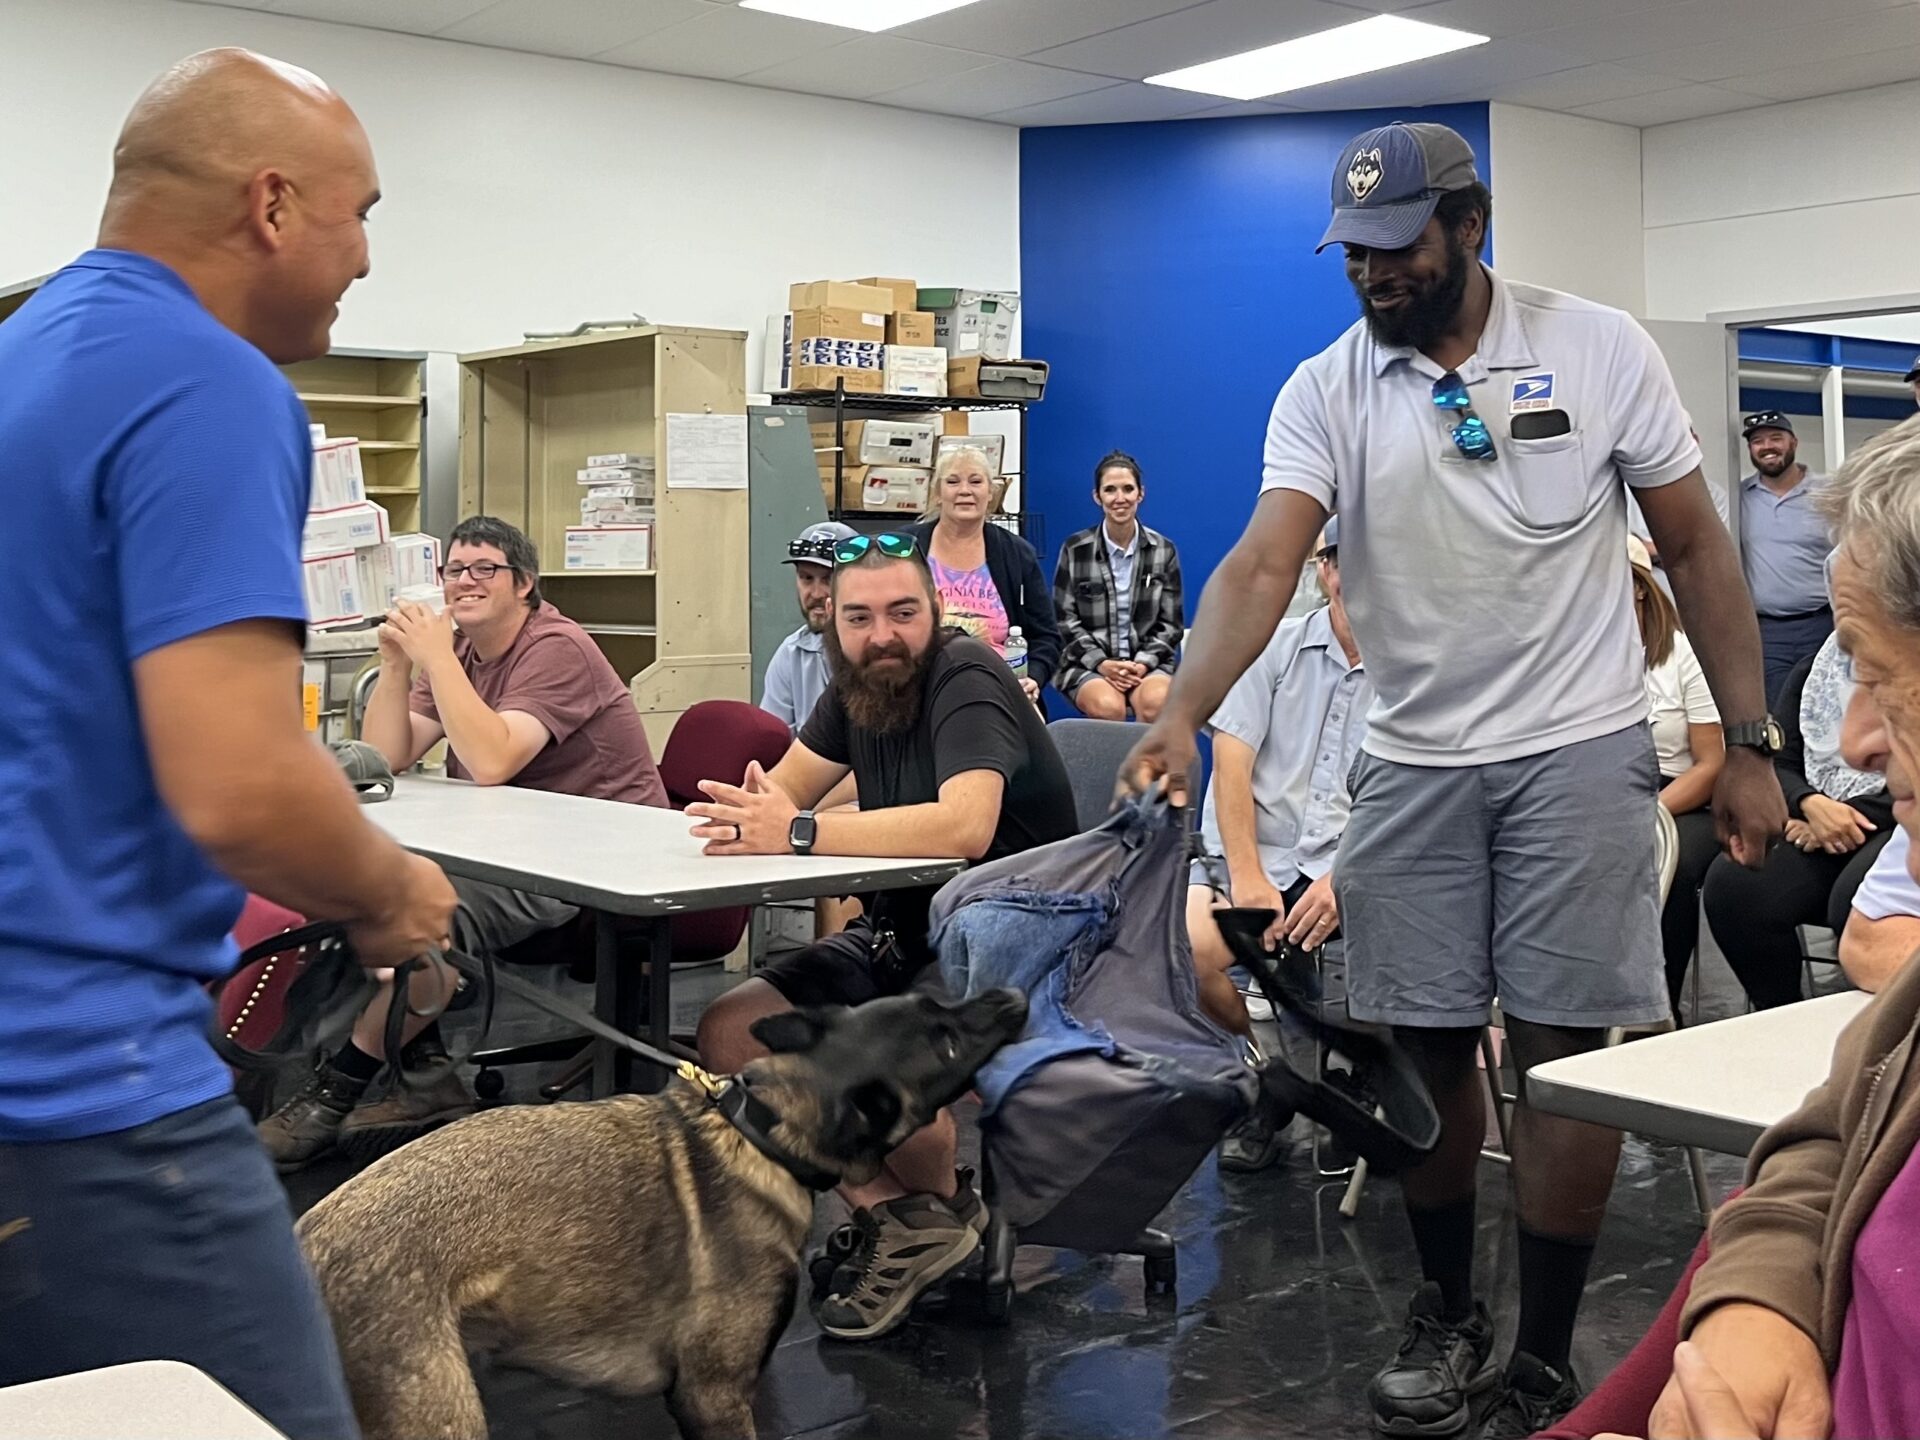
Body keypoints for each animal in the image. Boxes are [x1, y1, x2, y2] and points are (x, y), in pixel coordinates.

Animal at [295, 990, 1021, 1440]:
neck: (760, 1132)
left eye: (939, 1007)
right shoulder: (715, 1397)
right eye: (947, 1042)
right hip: (440, 1415)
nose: (1010, 996)